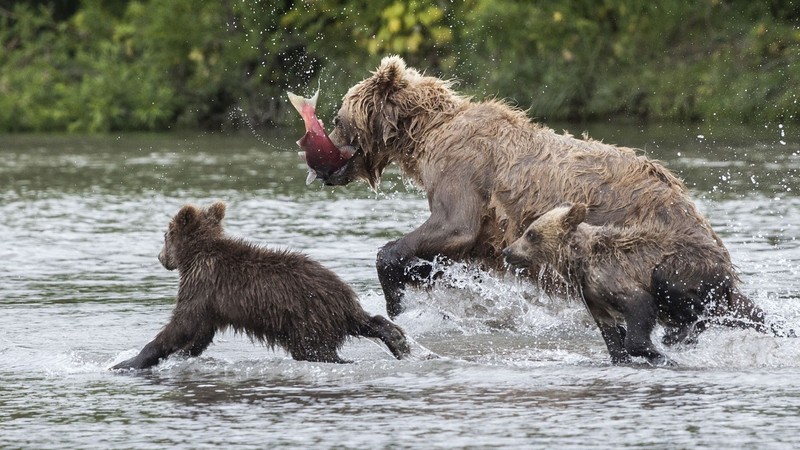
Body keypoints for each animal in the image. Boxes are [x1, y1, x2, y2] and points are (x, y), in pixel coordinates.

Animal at [111, 202, 410, 370]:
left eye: (165, 235)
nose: (160, 257)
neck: (195, 256)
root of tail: (343, 297)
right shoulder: (211, 301)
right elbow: (198, 332)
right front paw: (182, 354)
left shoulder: (203, 284)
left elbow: (181, 325)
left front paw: (127, 362)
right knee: (367, 322)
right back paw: (398, 341)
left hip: (306, 321)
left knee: (318, 353)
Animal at [322, 55, 772, 330]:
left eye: (338, 118)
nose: (322, 163)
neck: (425, 134)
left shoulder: (462, 170)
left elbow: (453, 225)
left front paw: (397, 296)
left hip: (644, 242)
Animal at [504, 203, 792, 366]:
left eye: (531, 234)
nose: (508, 251)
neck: (579, 263)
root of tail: (726, 268)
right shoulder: (593, 298)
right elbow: (610, 335)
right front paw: (621, 355)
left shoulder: (614, 277)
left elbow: (639, 307)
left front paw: (658, 354)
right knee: (743, 311)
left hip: (688, 268)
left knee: (682, 295)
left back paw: (677, 336)